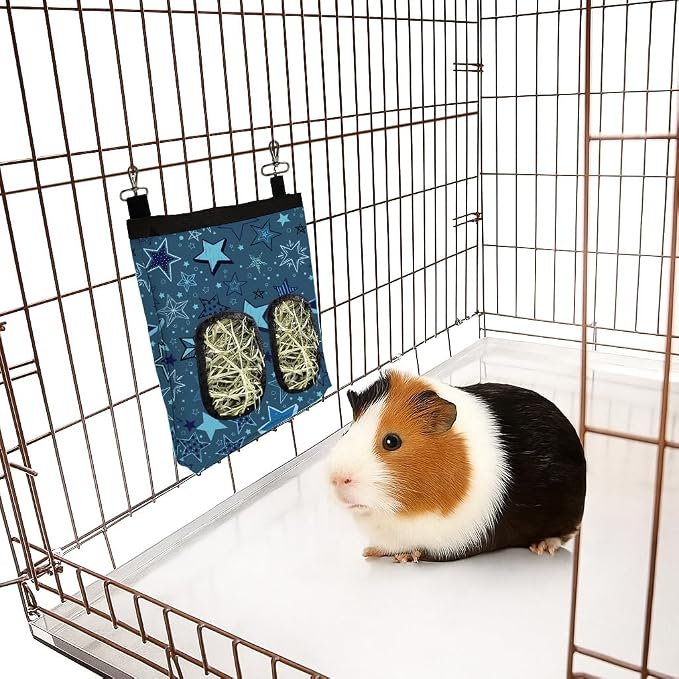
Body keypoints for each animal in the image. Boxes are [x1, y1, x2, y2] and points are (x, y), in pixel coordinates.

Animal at [327, 370, 586, 562]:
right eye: (347, 432)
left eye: (392, 441)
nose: (338, 478)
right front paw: (369, 552)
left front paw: (406, 557)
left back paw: (542, 547)